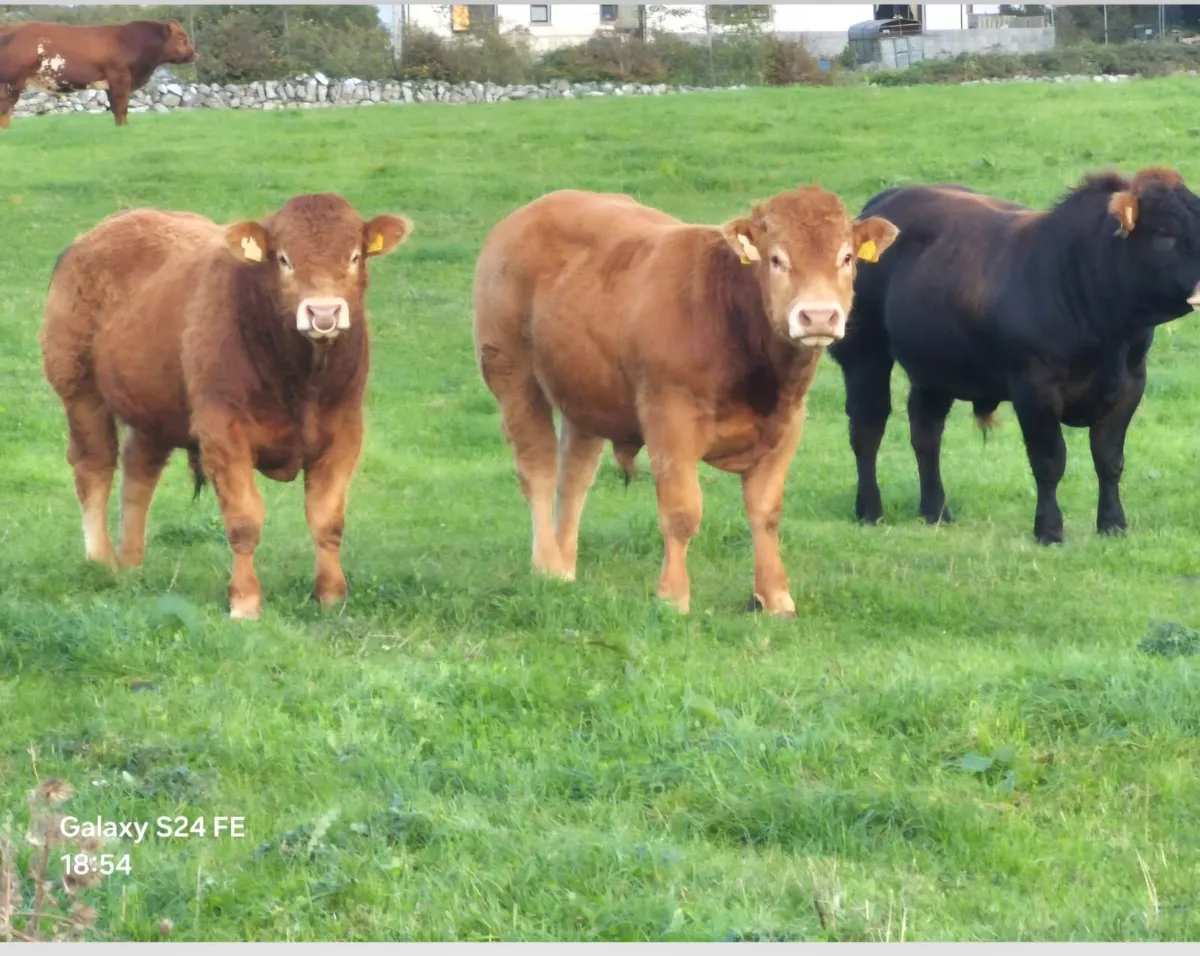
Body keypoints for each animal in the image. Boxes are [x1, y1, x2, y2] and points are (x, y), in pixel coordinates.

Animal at [0, 19, 197, 129]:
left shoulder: (111, 84)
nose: (195, 54)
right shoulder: (120, 78)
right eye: (181, 38)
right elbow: (122, 107)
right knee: (5, 109)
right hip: (11, 82)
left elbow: (116, 110)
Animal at [40, 194, 413, 619]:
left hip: (154, 407)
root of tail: (95, 235)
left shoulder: (345, 429)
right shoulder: (223, 431)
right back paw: (101, 560)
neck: (300, 380)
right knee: (94, 466)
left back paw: (131, 563)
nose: (323, 314)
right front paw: (245, 601)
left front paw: (331, 595)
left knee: (139, 470)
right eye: (283, 259)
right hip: (80, 390)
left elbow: (327, 518)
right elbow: (244, 518)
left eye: (354, 257)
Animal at [473, 186, 899, 616]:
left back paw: (565, 568)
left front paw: (776, 597)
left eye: (846, 257)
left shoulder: (787, 424)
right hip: (511, 373)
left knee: (574, 477)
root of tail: (532, 210)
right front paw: (672, 597)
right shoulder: (669, 418)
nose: (819, 316)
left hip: (584, 393)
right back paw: (547, 566)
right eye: (776, 258)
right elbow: (682, 511)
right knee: (539, 470)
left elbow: (766, 512)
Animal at [827, 167, 1200, 545]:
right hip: (864, 352)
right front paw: (1049, 530)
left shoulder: (1130, 384)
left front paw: (1112, 524)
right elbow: (1049, 460)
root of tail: (885, 199)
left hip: (934, 366)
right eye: (1166, 235)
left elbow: (1109, 459)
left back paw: (936, 511)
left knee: (925, 431)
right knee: (868, 427)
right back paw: (870, 510)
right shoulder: (1034, 387)